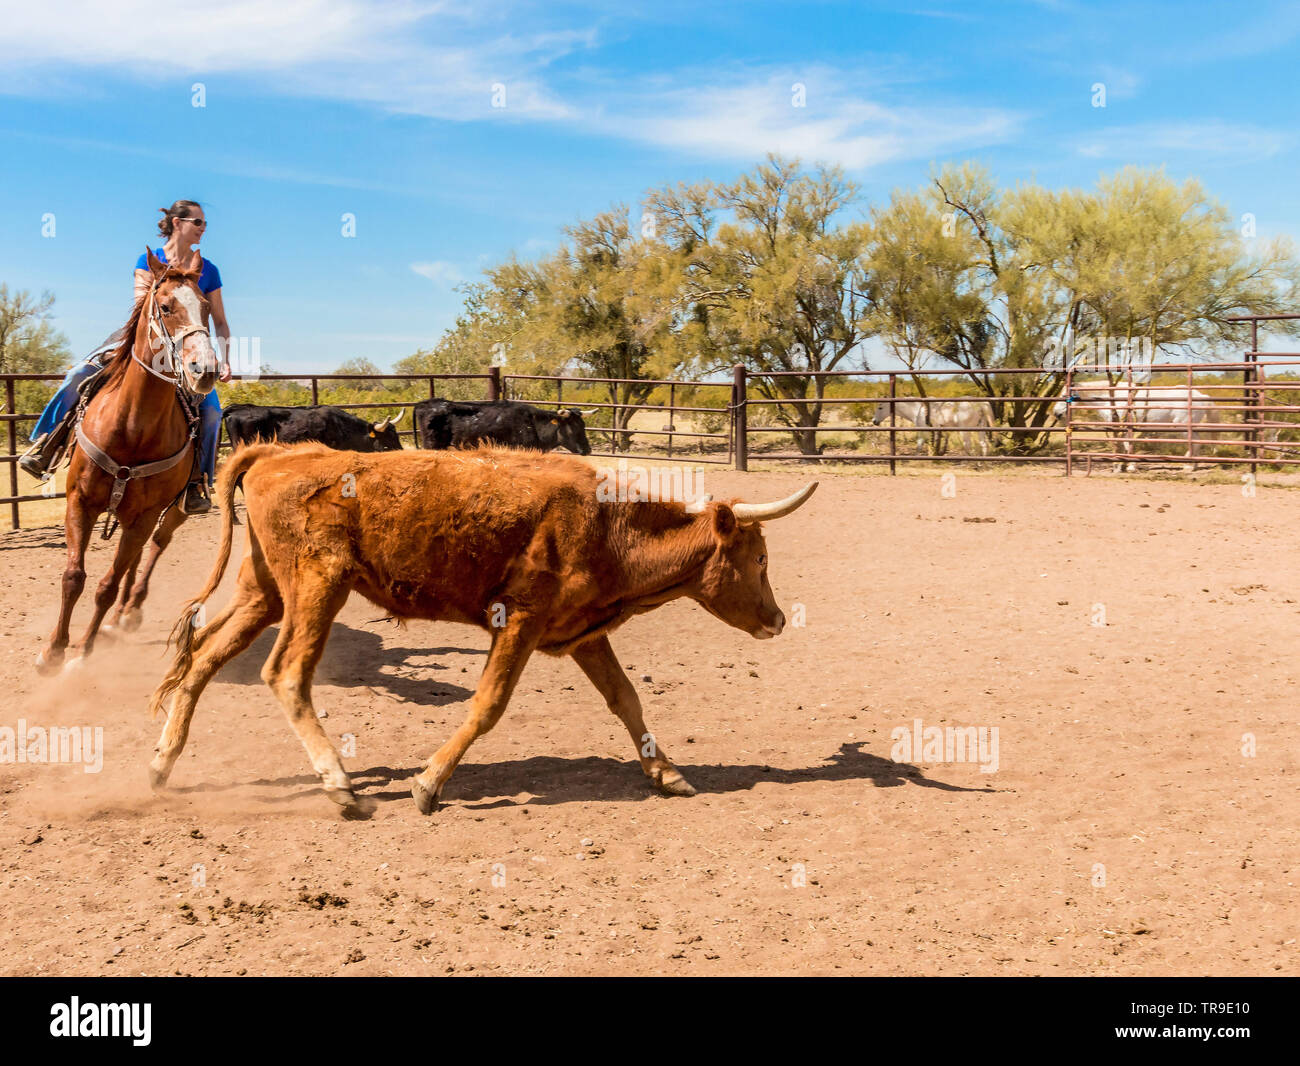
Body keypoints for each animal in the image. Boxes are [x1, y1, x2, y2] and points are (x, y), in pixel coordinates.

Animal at [36, 250, 217, 674]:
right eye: (165, 307)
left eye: (205, 307)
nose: (205, 370)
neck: (132, 426)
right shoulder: (80, 502)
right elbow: (73, 577)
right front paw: (53, 651)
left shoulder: (148, 512)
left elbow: (107, 584)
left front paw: (82, 651)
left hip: (169, 511)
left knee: (153, 549)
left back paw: (129, 611)